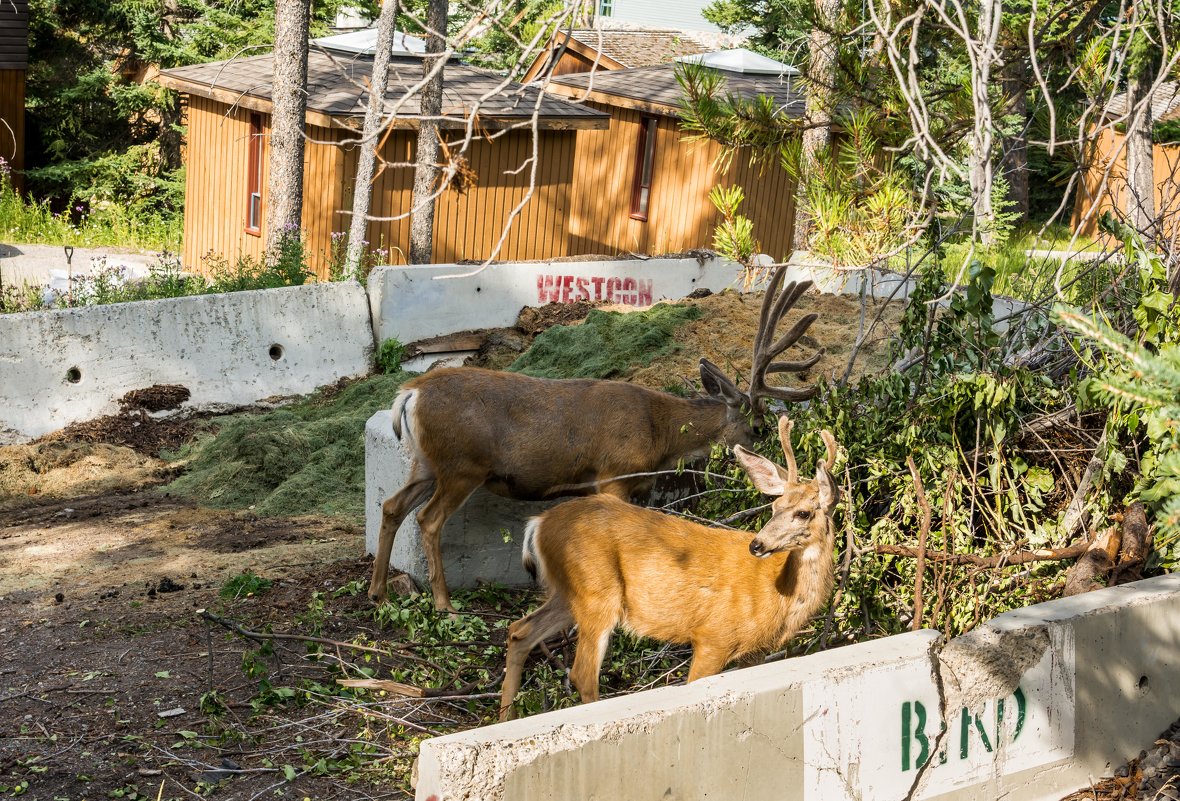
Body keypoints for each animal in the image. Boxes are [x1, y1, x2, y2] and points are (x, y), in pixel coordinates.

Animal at [368, 268, 821, 613]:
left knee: (391, 506)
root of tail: (411, 392)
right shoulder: (612, 476)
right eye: (759, 427)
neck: (659, 432)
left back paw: (379, 592)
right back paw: (444, 602)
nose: (773, 474)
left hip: (426, 462)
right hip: (462, 464)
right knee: (427, 519)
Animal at [497, 419, 840, 721]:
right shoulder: (713, 636)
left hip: (569, 592)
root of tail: (539, 523)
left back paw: (505, 718)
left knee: (519, 631)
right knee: (582, 673)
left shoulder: (754, 652)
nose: (757, 545)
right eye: (774, 507)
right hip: (596, 591)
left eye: (803, 512)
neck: (778, 594)